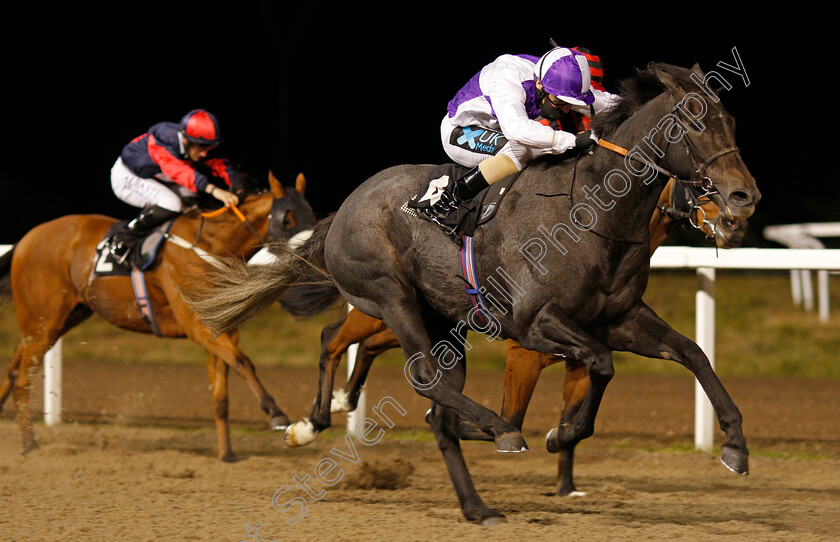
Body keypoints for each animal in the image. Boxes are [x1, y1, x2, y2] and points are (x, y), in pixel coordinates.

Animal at [0, 172, 314, 462]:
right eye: (287, 218)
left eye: (310, 214)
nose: (308, 256)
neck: (210, 246)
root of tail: (26, 239)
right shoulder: (197, 326)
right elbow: (243, 362)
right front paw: (276, 414)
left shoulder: (221, 328)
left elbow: (221, 394)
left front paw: (227, 453)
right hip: (43, 321)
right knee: (23, 376)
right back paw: (30, 444)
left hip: (62, 319)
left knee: (14, 366)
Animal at [282, 176, 748, 500]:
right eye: (699, 182)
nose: (735, 225)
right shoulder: (526, 353)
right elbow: (513, 417)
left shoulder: (584, 353)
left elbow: (577, 408)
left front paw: (564, 469)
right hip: (385, 311)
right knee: (334, 338)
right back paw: (314, 420)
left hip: (419, 328)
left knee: (366, 348)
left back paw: (339, 403)